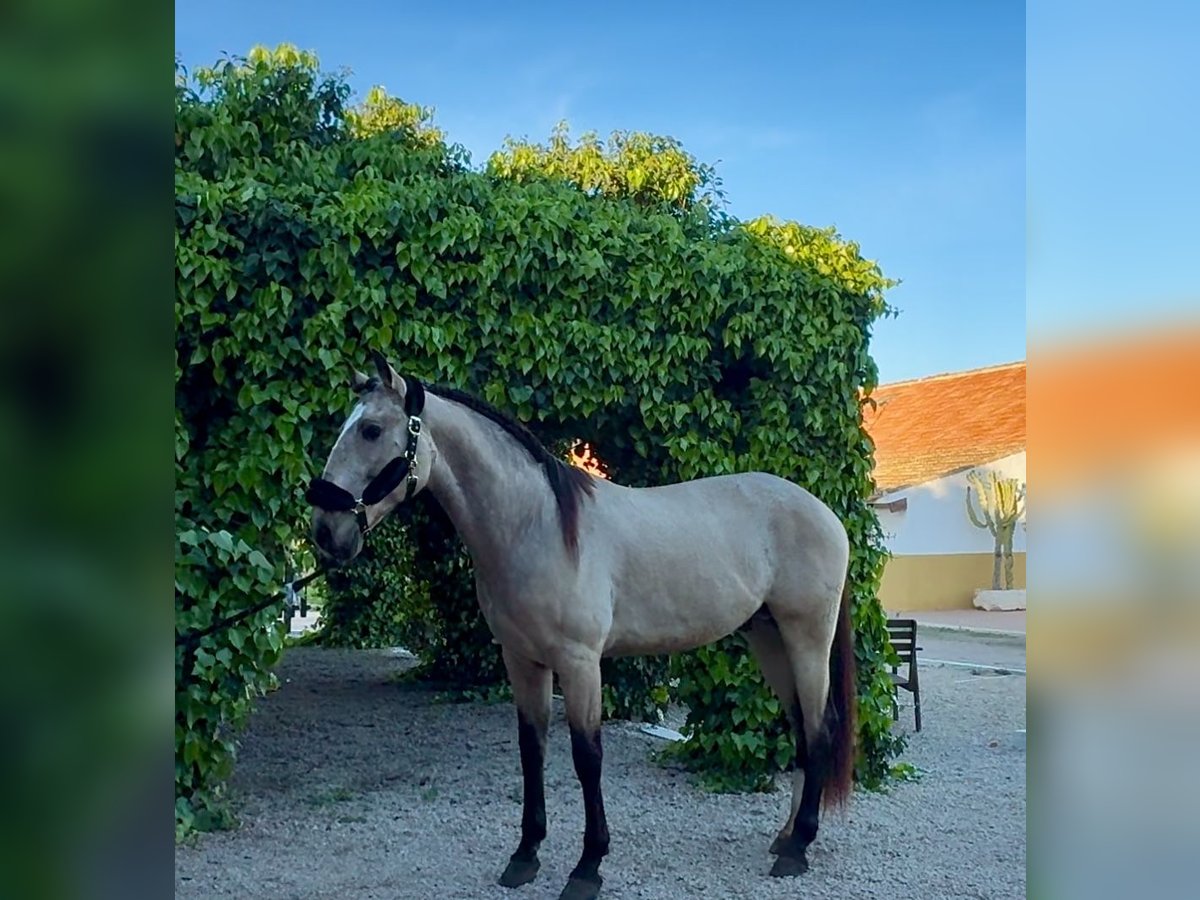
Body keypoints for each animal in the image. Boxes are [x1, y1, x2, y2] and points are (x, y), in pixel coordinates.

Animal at [304, 352, 859, 900]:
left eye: (372, 430)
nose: (327, 532)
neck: (537, 527)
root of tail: (825, 513)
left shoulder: (580, 663)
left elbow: (586, 757)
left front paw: (587, 866)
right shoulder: (521, 660)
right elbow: (532, 751)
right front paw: (524, 856)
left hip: (806, 637)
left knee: (820, 725)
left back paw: (798, 848)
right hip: (769, 638)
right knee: (801, 728)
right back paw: (785, 836)